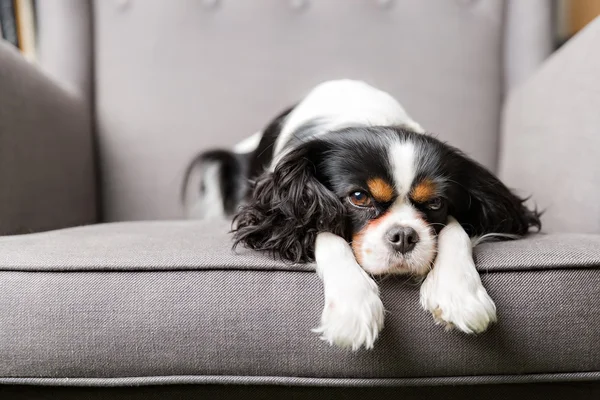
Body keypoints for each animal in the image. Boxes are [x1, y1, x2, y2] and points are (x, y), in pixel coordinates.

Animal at [180, 80, 540, 350]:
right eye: (358, 197)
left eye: (436, 203)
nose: (404, 236)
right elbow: (325, 232)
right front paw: (353, 309)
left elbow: (455, 230)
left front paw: (459, 293)